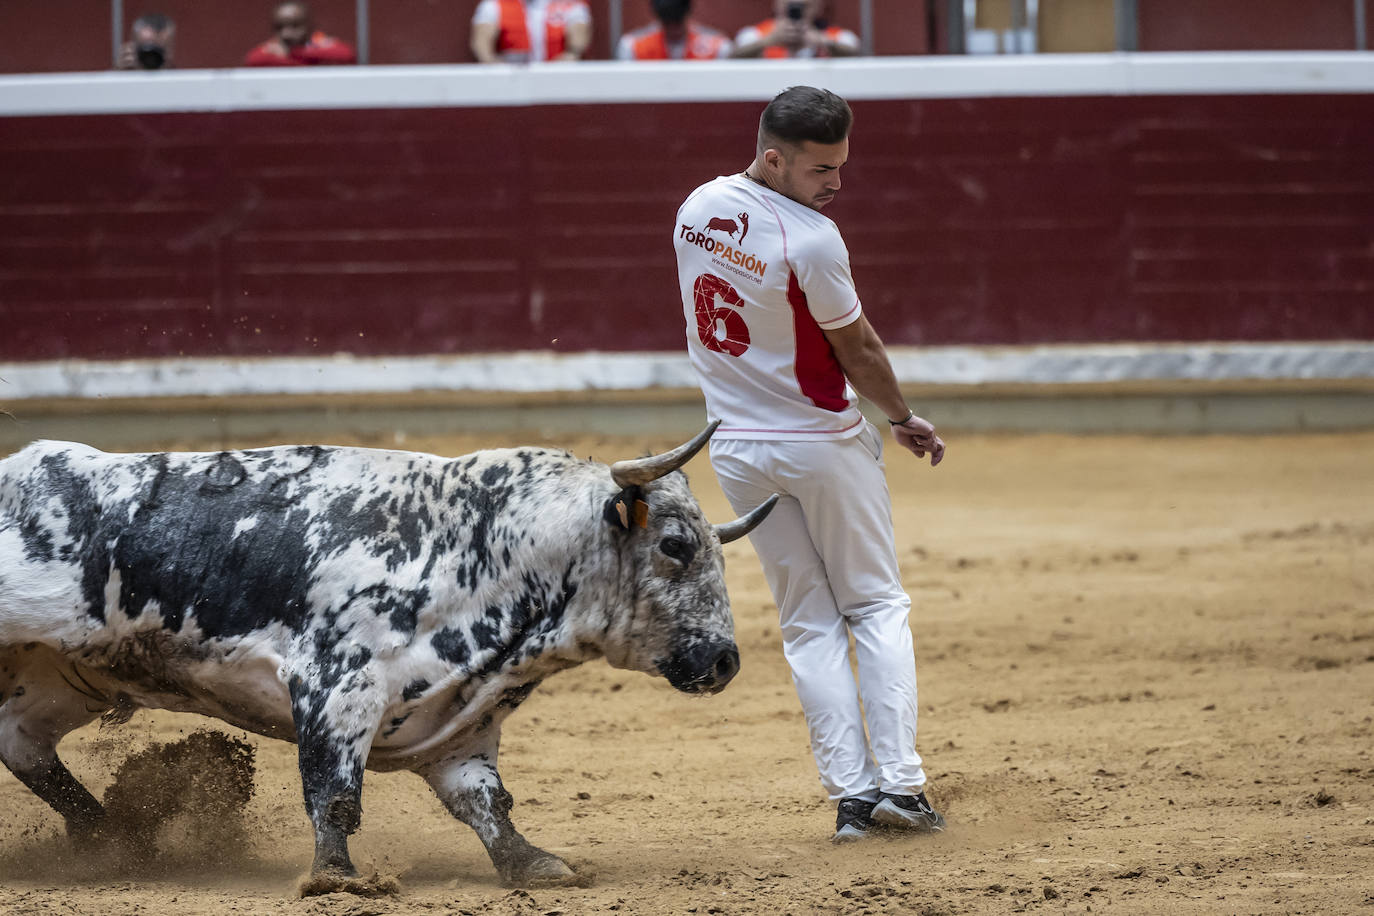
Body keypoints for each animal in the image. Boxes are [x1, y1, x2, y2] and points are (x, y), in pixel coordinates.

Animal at [0, 425, 774, 889]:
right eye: (675, 545)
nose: (724, 661)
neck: (483, 549)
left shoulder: (463, 725)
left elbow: (487, 803)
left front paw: (535, 865)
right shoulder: (336, 688)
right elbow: (334, 794)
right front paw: (337, 879)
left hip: (58, 679)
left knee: (23, 746)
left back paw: (113, 837)